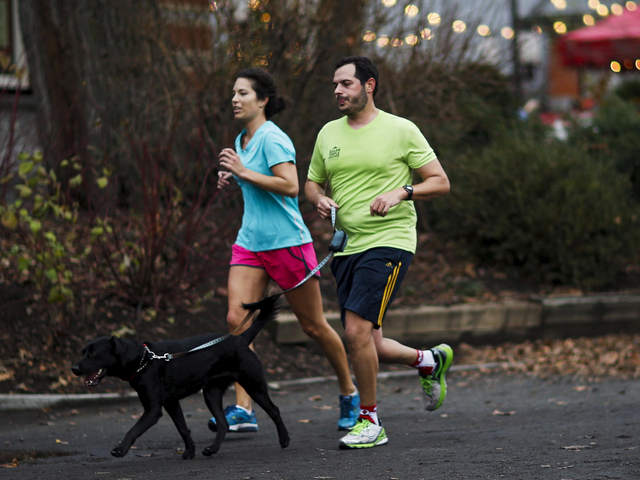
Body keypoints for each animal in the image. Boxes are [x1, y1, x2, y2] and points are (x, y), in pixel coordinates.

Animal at [72, 296, 288, 462]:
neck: (144, 360)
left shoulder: (153, 410)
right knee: (223, 424)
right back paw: (212, 449)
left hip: (253, 384)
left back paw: (284, 440)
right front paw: (190, 452)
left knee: (275, 410)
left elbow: (133, 430)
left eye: (94, 353)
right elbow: (183, 428)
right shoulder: (171, 403)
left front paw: (120, 449)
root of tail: (242, 338)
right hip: (211, 393)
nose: (74, 368)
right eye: (83, 352)